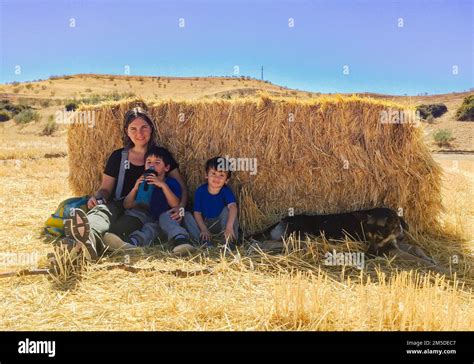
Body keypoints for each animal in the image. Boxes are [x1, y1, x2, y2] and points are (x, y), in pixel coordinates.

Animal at [250, 208, 446, 272]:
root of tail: (281, 220)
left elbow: (415, 248)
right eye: (369, 236)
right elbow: (415, 257)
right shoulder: (388, 250)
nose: (369, 256)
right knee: (269, 242)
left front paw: (430, 258)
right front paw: (438, 268)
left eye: (378, 236)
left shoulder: (392, 245)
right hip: (301, 238)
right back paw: (257, 247)